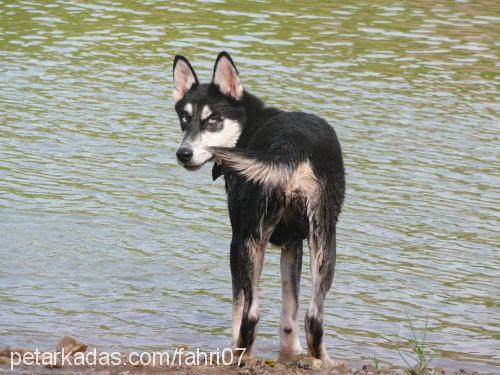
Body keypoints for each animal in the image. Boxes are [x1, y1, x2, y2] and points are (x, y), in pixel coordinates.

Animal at [171, 51, 344, 366]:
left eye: (213, 120)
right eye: (184, 118)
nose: (183, 154)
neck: (248, 126)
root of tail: (292, 146)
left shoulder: (239, 240)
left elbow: (238, 308)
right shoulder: (292, 243)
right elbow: (289, 314)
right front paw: (291, 352)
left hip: (250, 240)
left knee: (251, 313)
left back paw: (240, 354)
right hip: (325, 240)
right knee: (314, 316)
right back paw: (323, 361)